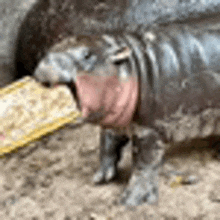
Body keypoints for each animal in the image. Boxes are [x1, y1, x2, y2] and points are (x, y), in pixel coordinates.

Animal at [32, 15, 220, 206]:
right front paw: (102, 177)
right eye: (50, 49)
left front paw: (131, 201)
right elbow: (107, 143)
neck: (132, 65)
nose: (46, 64)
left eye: (87, 55)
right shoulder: (116, 121)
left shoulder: (148, 130)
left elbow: (144, 162)